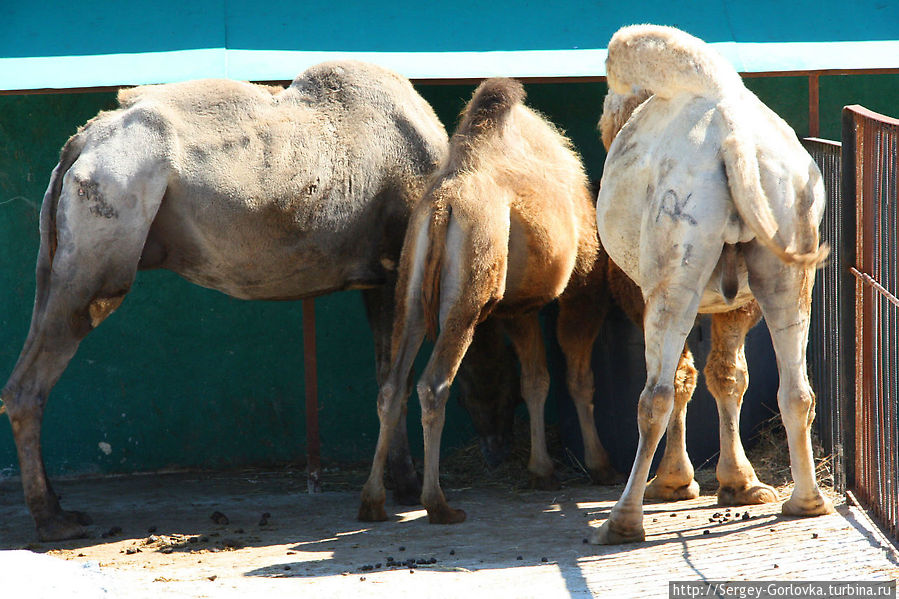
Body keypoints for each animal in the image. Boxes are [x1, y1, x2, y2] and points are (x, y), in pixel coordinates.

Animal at [0, 61, 516, 544]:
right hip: (110, 214)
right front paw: (406, 489)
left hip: (59, 250)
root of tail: (79, 144)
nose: (498, 452)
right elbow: (398, 376)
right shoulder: (395, 268)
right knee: (43, 367)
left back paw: (60, 509)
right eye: (494, 379)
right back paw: (52, 522)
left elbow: (387, 373)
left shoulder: (377, 280)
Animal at [358, 78, 620, 524]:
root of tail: (443, 205)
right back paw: (439, 504)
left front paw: (542, 471)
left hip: (410, 287)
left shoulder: (519, 307)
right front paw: (600, 466)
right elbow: (578, 378)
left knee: (392, 386)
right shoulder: (583, 285)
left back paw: (373, 501)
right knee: (432, 384)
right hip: (470, 292)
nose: (496, 450)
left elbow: (536, 380)